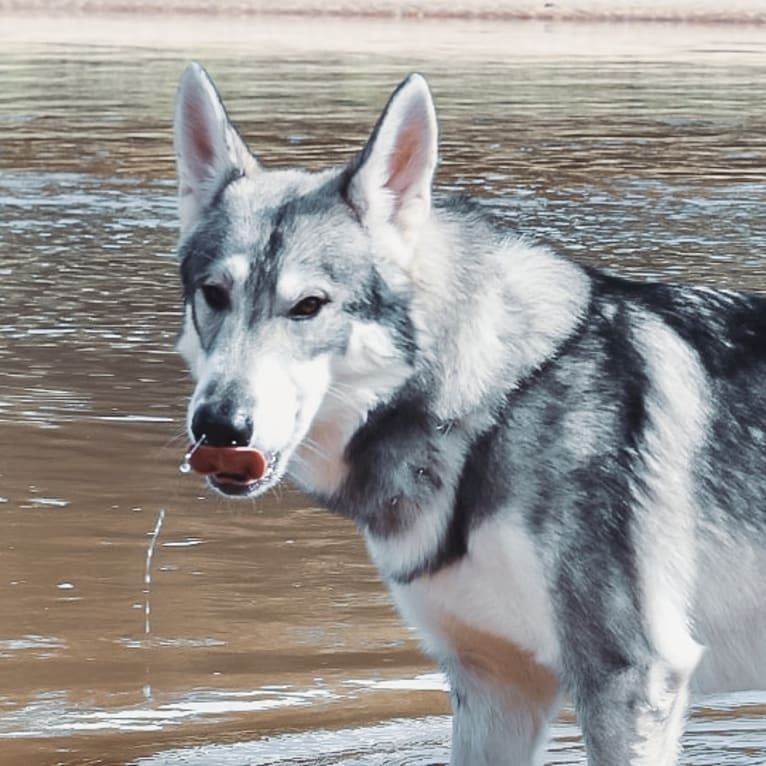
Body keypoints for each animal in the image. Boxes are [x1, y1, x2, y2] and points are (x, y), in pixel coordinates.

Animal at [172, 63, 766, 764]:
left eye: (309, 306)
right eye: (214, 295)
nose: (219, 425)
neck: (493, 409)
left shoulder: (631, 677)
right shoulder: (495, 683)